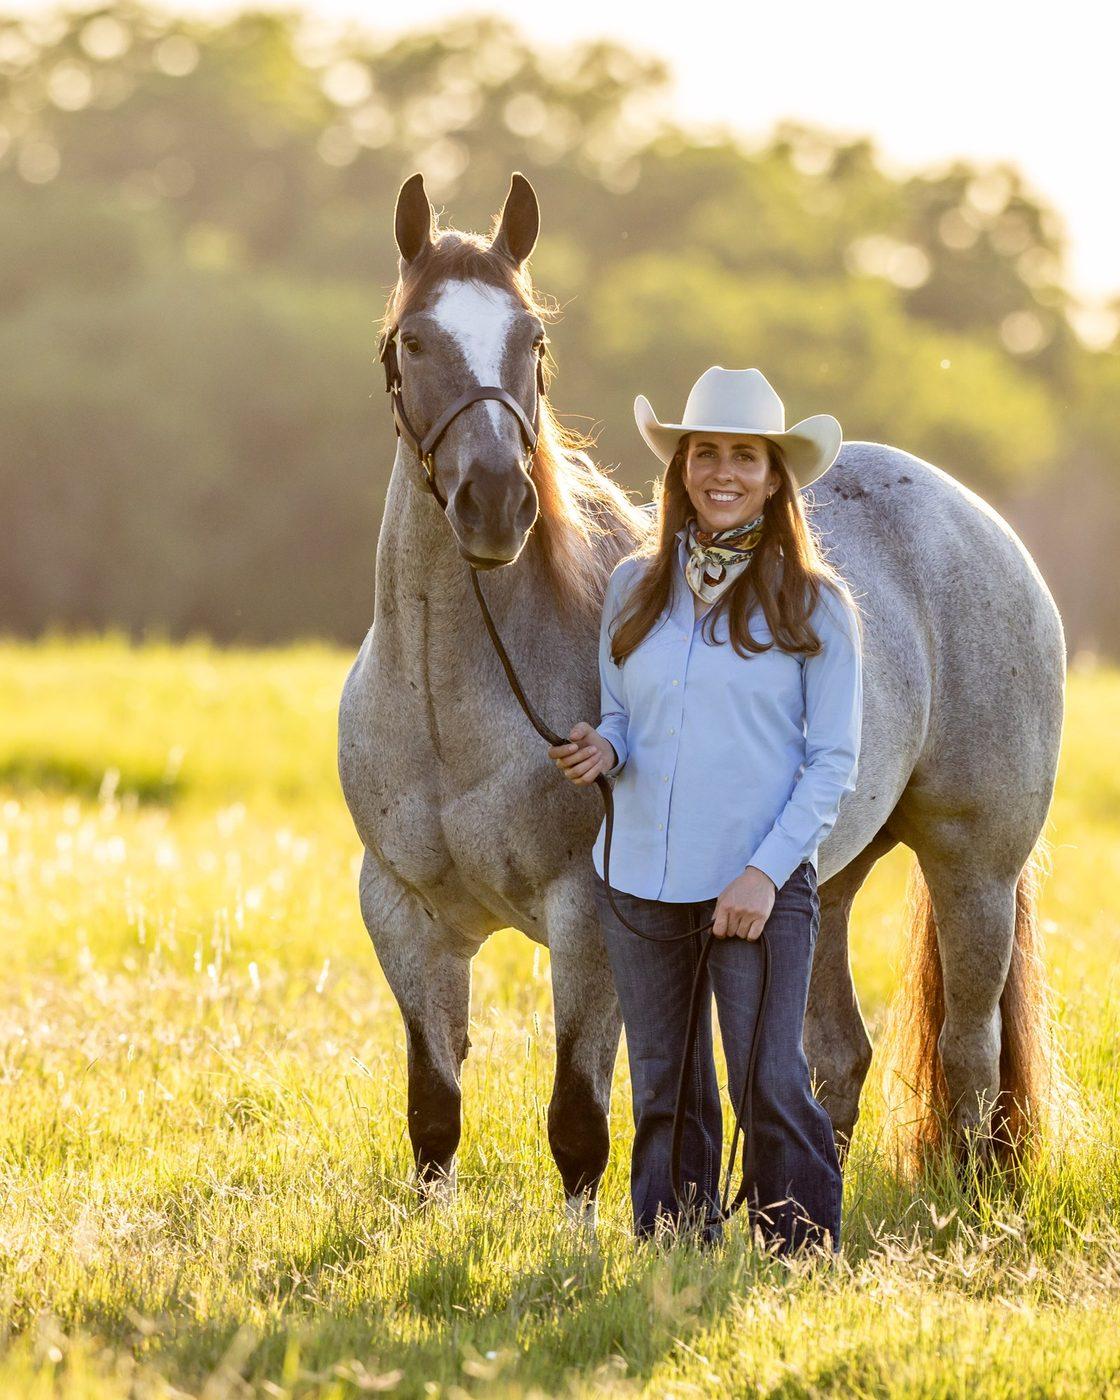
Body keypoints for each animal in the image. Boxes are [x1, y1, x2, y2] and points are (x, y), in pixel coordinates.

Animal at [338, 170, 1076, 1228]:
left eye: (534, 342)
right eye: (413, 341)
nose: (496, 505)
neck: (451, 708)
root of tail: (979, 523)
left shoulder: (585, 917)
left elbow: (577, 1119)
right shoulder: (404, 917)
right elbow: (434, 1115)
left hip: (973, 867)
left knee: (969, 1056)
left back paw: (963, 1211)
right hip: (818, 886)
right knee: (833, 1058)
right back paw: (786, 1216)